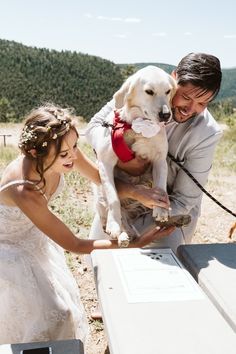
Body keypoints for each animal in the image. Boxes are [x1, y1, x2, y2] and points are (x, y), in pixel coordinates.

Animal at [88, 66, 177, 248]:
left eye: (168, 91)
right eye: (149, 91)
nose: (166, 115)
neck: (138, 128)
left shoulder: (160, 161)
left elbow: (160, 188)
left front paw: (161, 210)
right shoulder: (105, 163)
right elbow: (113, 198)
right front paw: (114, 224)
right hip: (99, 191)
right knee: (116, 214)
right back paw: (122, 234)